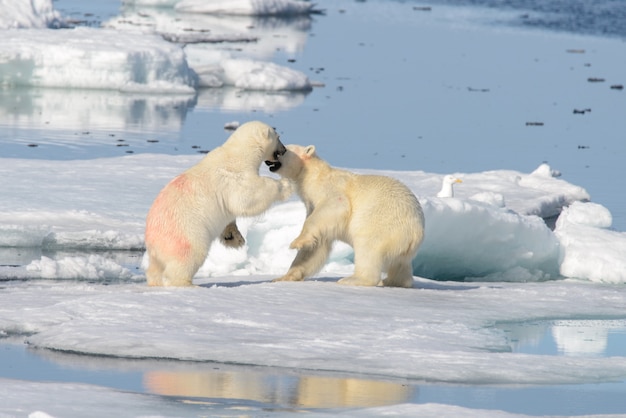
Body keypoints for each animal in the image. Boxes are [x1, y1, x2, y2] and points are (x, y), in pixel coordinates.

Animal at [145, 119, 292, 286]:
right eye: (278, 137)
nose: (284, 149)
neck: (239, 154)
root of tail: (152, 238)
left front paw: (235, 238)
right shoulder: (233, 177)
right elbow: (246, 198)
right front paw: (285, 184)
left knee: (155, 268)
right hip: (186, 232)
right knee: (189, 256)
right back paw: (187, 284)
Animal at [270, 145, 424, 288]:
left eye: (284, 149)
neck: (312, 174)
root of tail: (416, 231)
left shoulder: (329, 189)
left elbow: (335, 206)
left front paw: (296, 242)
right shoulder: (311, 204)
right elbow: (316, 245)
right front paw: (283, 277)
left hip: (382, 224)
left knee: (367, 249)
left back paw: (352, 279)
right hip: (402, 245)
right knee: (400, 264)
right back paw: (392, 281)